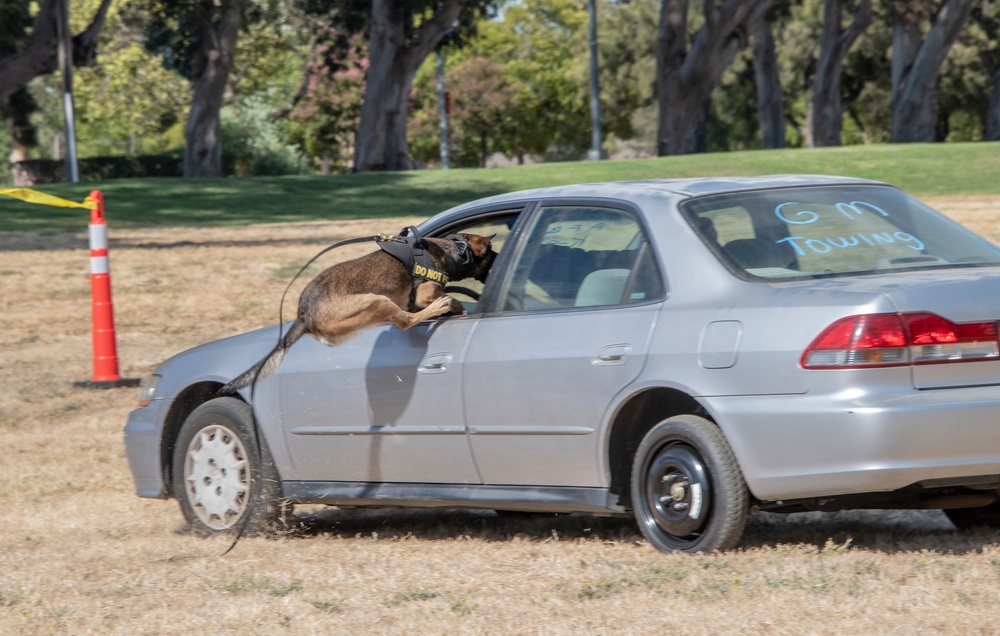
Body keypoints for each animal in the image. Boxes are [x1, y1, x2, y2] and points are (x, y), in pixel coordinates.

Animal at [222, 231, 496, 396]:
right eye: (492, 253)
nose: (499, 259)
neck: (456, 249)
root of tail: (303, 315)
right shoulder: (424, 294)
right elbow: (446, 299)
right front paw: (456, 305)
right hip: (376, 300)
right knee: (406, 322)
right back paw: (439, 308)